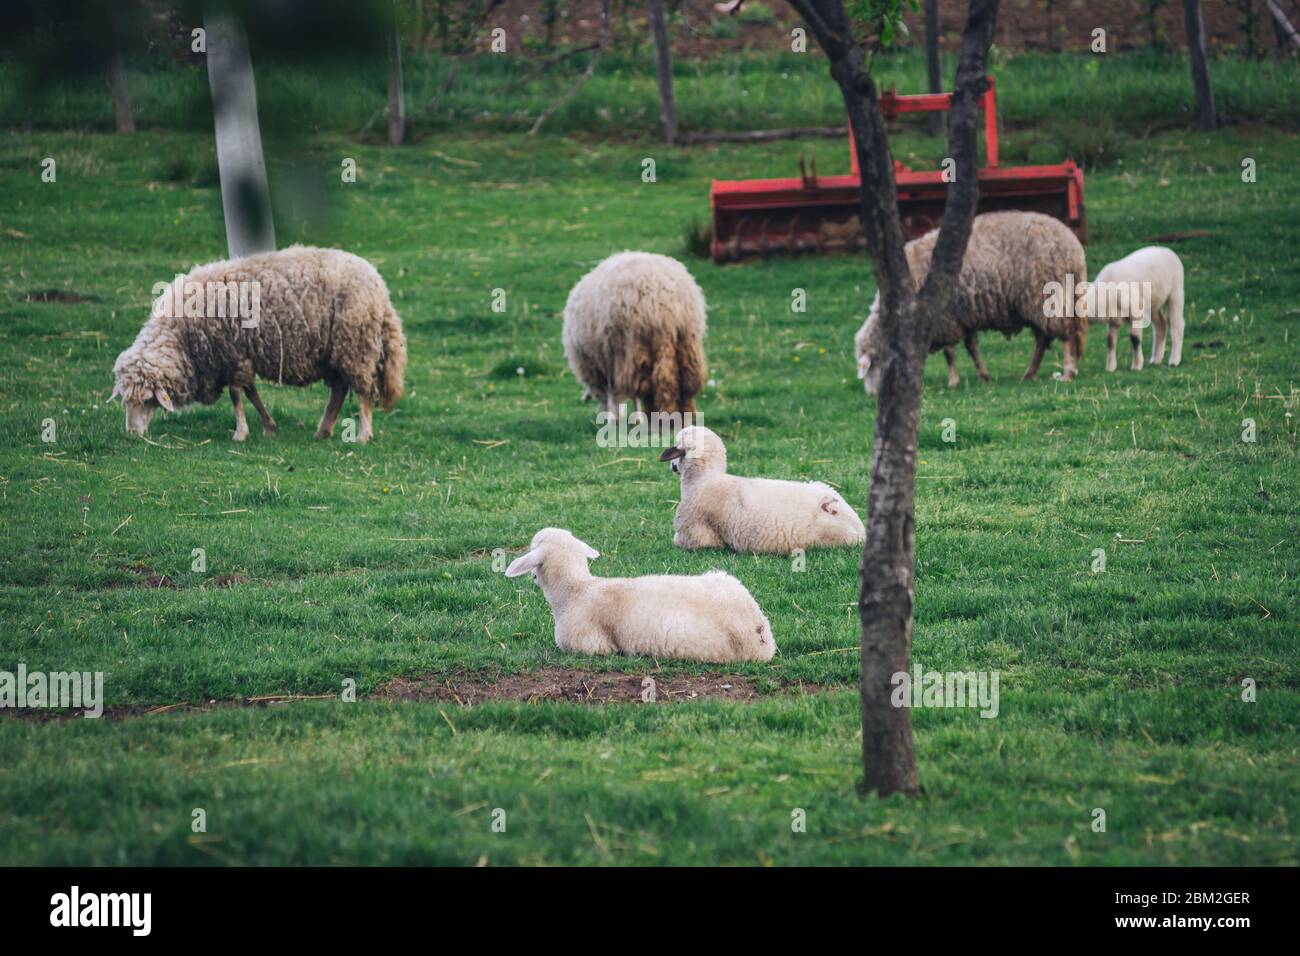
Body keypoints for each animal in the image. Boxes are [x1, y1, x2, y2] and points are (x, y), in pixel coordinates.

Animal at [111, 244, 405, 442]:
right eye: (126, 401)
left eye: (147, 400)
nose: (132, 433)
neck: (184, 337)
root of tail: (380, 286)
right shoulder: (238, 357)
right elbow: (251, 393)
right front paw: (269, 426)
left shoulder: (232, 355)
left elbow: (237, 395)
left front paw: (241, 433)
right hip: (338, 350)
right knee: (340, 389)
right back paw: (324, 430)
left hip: (356, 343)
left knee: (363, 390)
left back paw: (363, 434)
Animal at [556, 251, 707, 421]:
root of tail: (664, 297)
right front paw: (633, 417)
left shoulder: (610, 361)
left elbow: (613, 393)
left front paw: (615, 418)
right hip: (687, 343)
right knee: (687, 385)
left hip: (634, 346)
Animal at [852, 210, 1086, 395]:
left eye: (871, 367)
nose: (872, 394)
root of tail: (1074, 248)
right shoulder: (962, 316)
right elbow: (971, 347)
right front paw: (983, 375)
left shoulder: (942, 319)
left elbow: (949, 353)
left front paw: (953, 381)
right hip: (1039, 302)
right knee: (1043, 339)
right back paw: (1030, 373)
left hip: (1048, 296)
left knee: (1065, 333)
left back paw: (1068, 371)